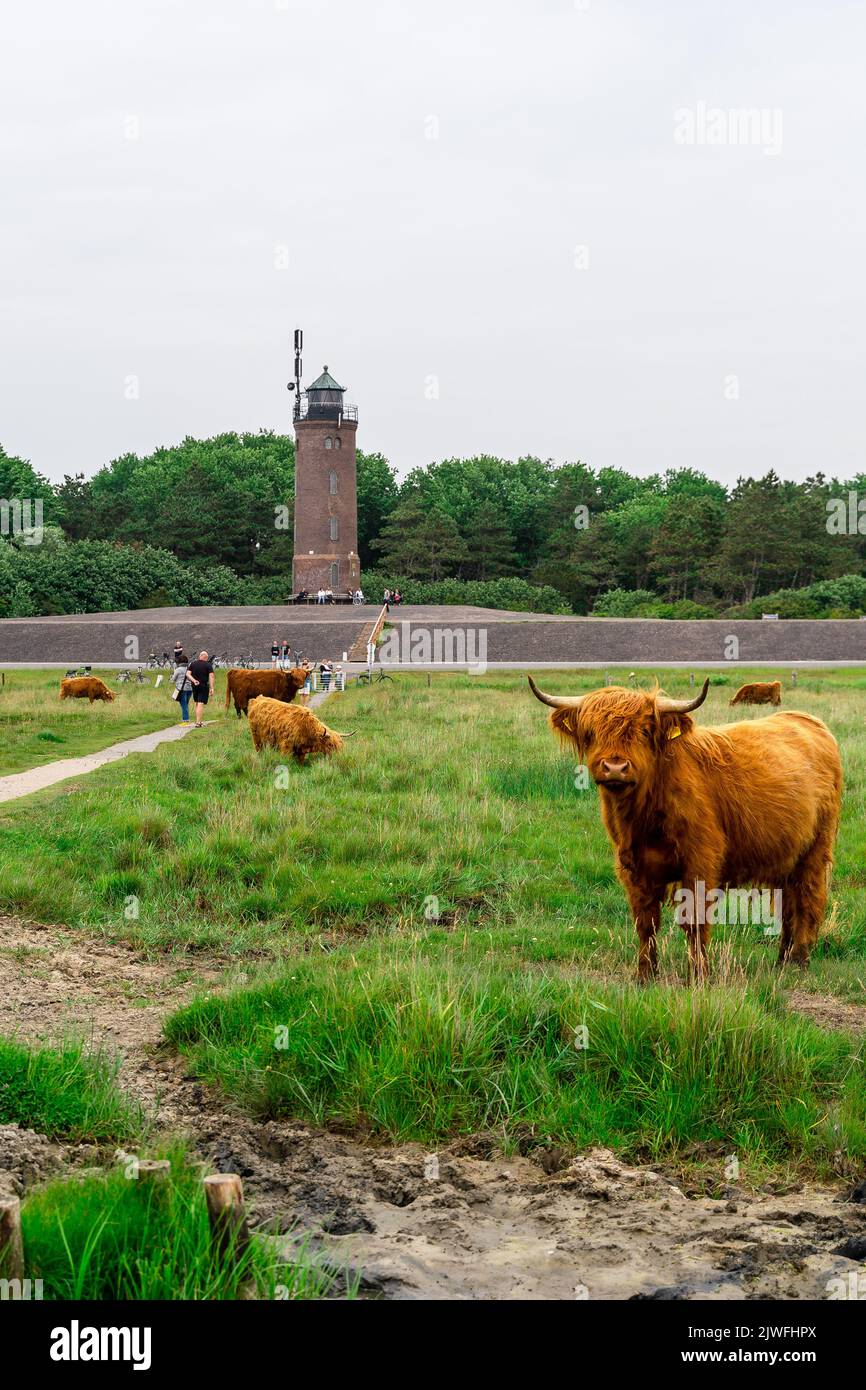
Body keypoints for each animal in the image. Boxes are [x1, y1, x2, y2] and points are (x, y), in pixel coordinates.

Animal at [528, 676, 841, 983]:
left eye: (645, 731)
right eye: (591, 732)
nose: (615, 767)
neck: (644, 814)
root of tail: (809, 721)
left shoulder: (700, 862)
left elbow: (695, 921)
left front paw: (699, 975)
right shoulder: (632, 867)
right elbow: (646, 922)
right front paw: (645, 974)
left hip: (816, 850)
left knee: (808, 899)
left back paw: (799, 960)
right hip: (785, 855)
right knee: (788, 903)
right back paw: (782, 960)